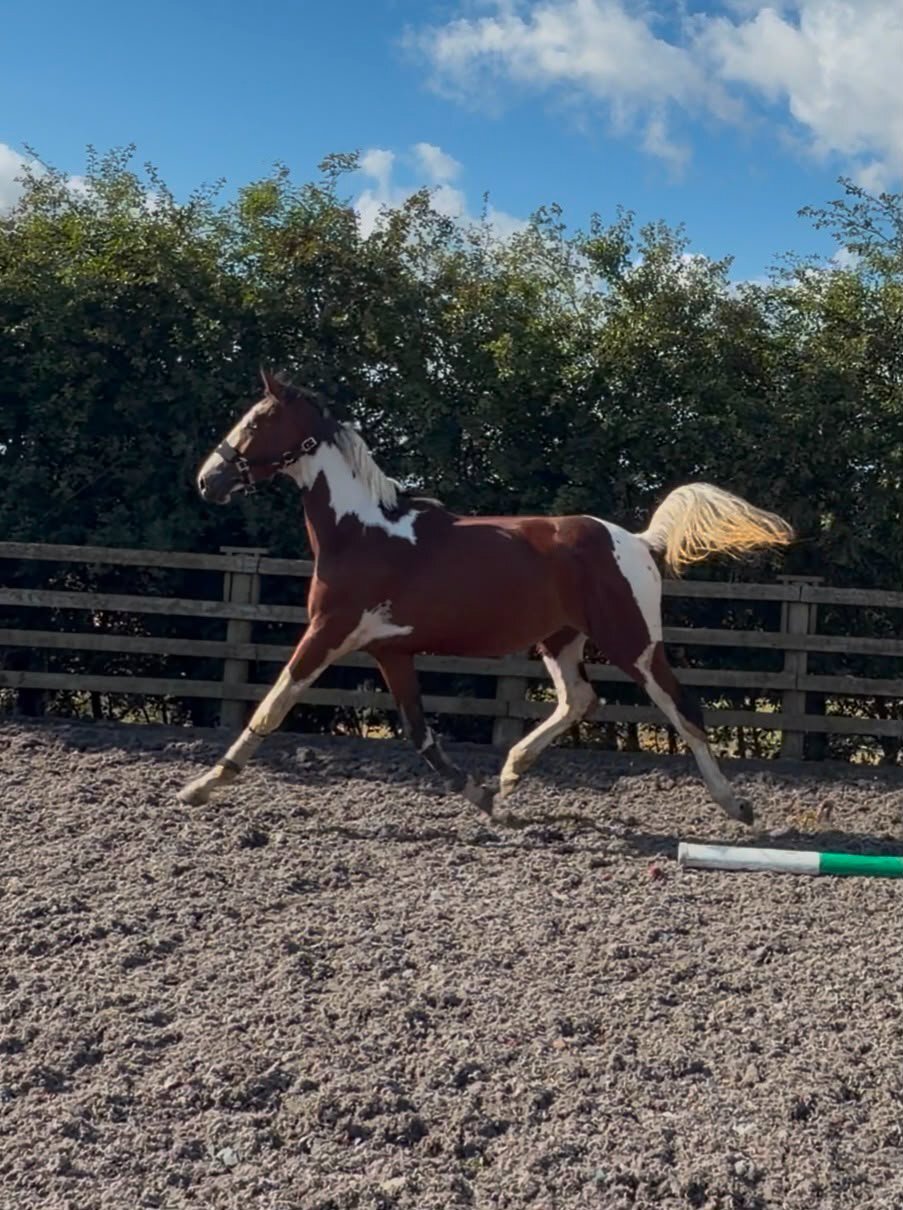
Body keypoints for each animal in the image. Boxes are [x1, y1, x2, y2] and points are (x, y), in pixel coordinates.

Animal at [178, 370, 794, 826]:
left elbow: (272, 704)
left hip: (633, 643)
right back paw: (512, 771)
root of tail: (640, 541)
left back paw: (738, 807)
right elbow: (420, 734)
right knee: (580, 699)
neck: (362, 531)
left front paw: (201, 787)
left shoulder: (327, 632)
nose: (208, 480)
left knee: (684, 710)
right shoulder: (390, 651)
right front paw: (483, 796)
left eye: (257, 420)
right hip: (561, 638)